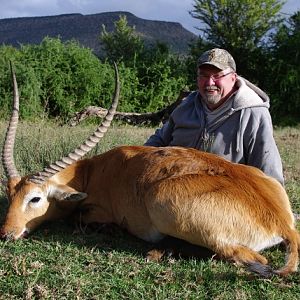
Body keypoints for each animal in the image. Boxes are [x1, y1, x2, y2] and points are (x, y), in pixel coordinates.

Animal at [0, 64, 300, 278]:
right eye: (10, 195)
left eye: (35, 198)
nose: (6, 234)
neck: (93, 172)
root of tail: (283, 224)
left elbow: (78, 218)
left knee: (250, 258)